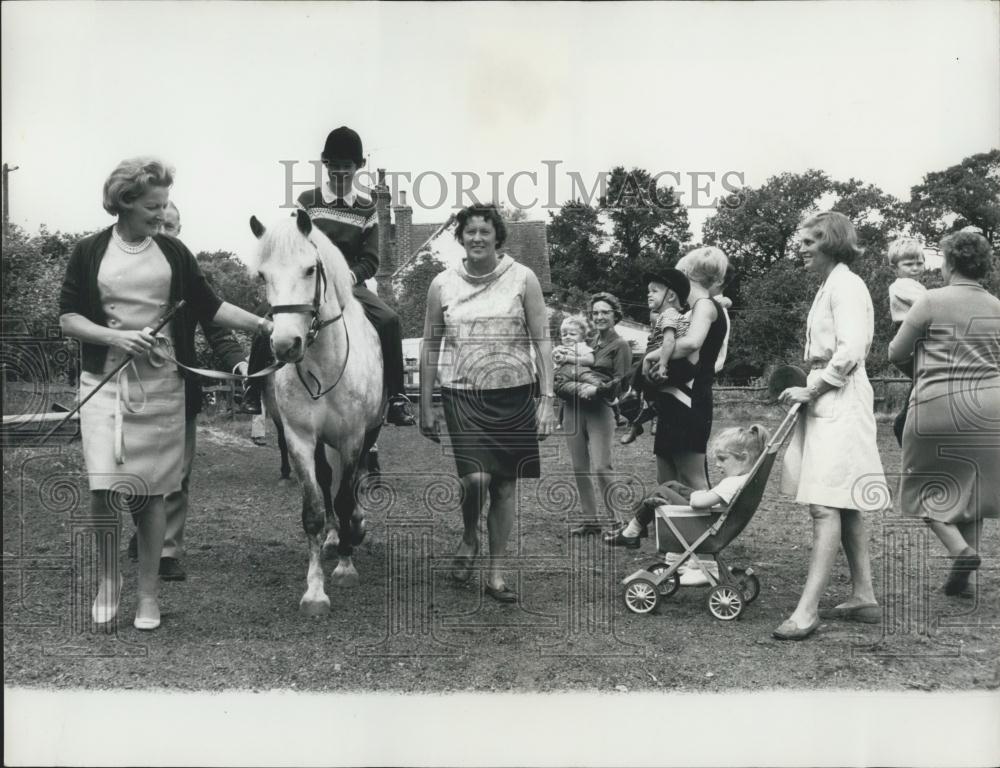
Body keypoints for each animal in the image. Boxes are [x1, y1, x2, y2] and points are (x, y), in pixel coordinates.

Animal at [250, 208, 386, 612]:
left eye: (310, 269)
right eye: (262, 275)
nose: (285, 345)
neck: (323, 362)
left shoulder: (354, 436)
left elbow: (346, 495)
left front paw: (345, 567)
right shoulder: (300, 437)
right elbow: (313, 509)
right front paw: (314, 590)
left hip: (366, 432)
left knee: (352, 481)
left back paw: (353, 528)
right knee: (329, 480)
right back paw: (335, 536)